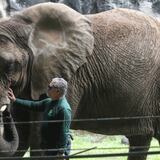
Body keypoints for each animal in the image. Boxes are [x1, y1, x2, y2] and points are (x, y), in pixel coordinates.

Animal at [0, 1, 160, 160]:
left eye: (10, 65)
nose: (7, 98)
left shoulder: (69, 75)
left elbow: (42, 140)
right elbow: (21, 136)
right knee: (140, 139)